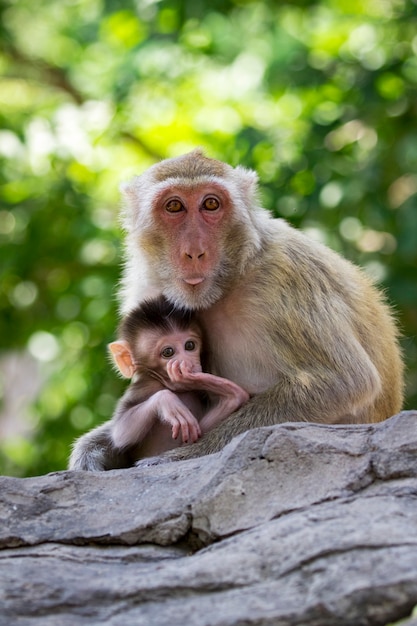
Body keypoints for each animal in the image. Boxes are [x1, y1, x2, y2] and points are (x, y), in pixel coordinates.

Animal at [70, 294, 249, 468]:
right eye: (168, 352)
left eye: (190, 346)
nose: (188, 363)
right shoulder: (140, 388)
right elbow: (121, 433)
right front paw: (166, 401)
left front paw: (225, 390)